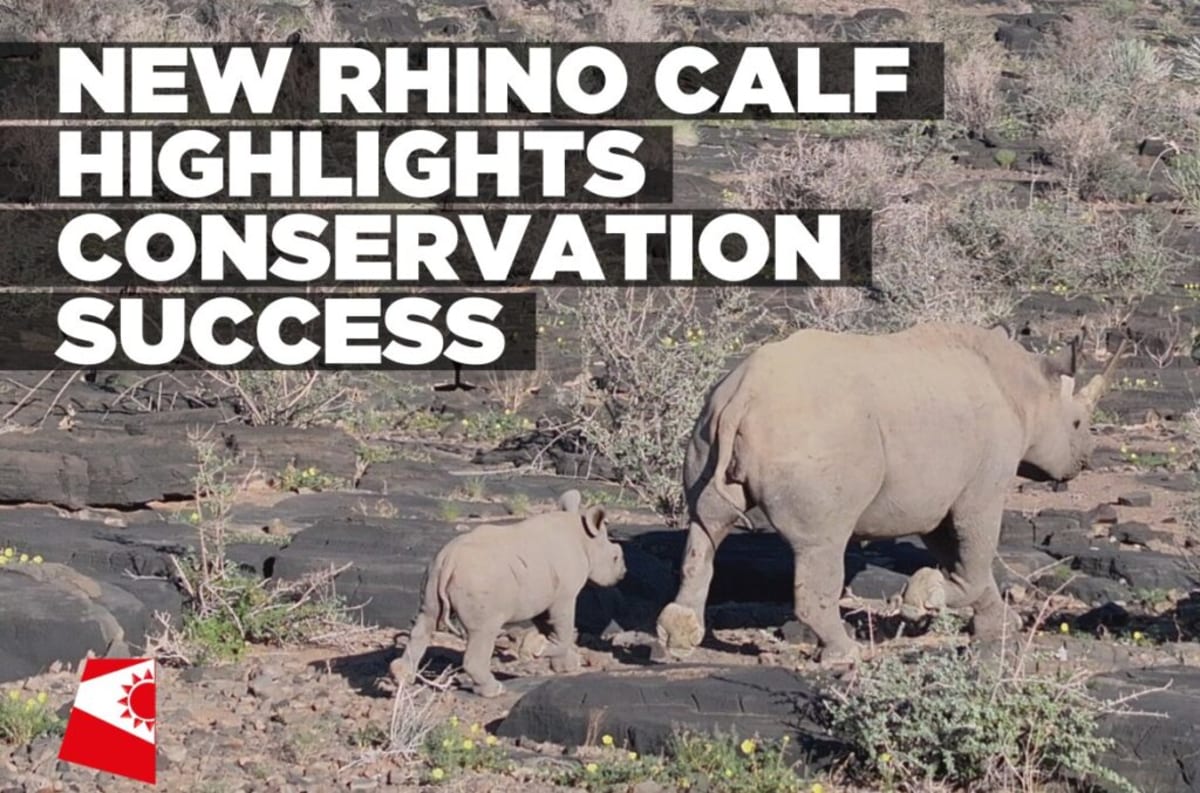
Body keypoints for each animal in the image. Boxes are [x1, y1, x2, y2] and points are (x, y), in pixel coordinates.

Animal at [391, 489, 626, 697]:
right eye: (615, 558)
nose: (623, 573)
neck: (586, 538)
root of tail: (450, 559)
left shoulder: (543, 593)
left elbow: (551, 627)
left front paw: (567, 666)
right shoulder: (564, 595)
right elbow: (564, 628)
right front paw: (536, 649)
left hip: (434, 570)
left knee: (426, 619)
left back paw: (401, 680)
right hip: (478, 578)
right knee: (483, 631)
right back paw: (494, 691)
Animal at [654, 322, 1126, 666]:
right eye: (1077, 424)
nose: (1084, 461)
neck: (1027, 388)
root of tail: (745, 396)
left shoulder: (934, 494)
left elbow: (959, 558)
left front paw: (1000, 627)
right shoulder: (982, 484)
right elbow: (975, 555)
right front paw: (924, 598)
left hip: (709, 421)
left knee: (705, 526)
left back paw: (677, 641)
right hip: (817, 436)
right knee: (822, 544)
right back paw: (846, 655)